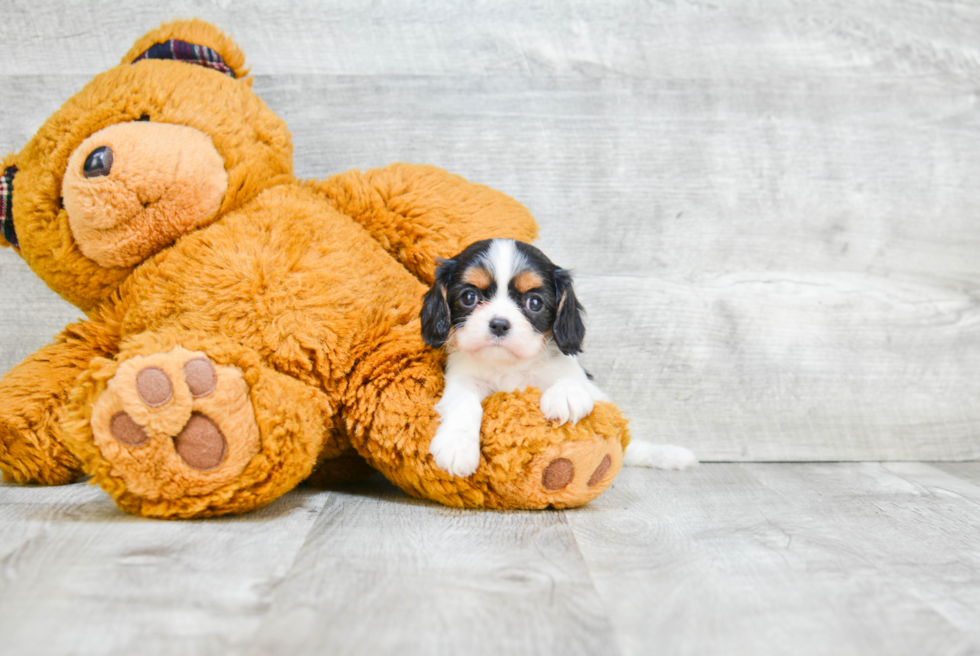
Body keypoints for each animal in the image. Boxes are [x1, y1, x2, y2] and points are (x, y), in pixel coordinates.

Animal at [422, 238, 696, 474]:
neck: (511, 364)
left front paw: (565, 395)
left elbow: (572, 379)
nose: (499, 324)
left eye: (534, 303)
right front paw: (457, 445)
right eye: (469, 297)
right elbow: (464, 402)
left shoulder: (582, 380)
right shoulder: (462, 378)